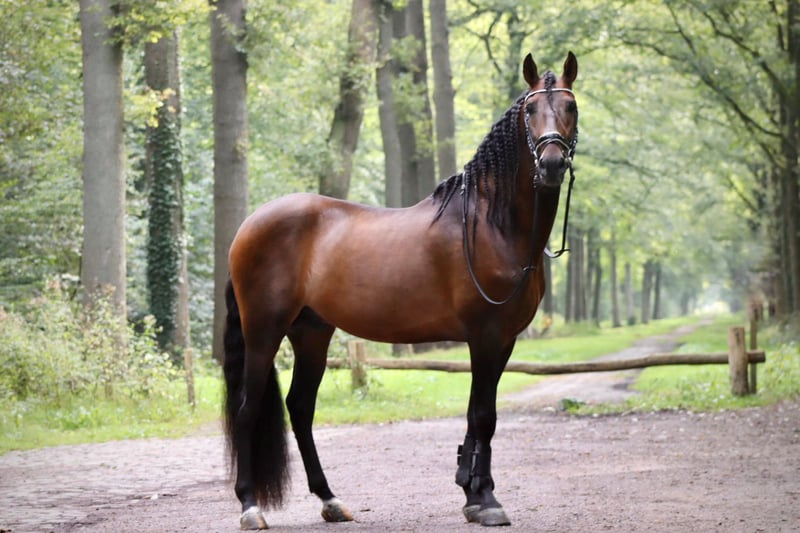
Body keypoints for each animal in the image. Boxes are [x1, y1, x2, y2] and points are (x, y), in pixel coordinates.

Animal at [223, 51, 579, 529]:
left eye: (570, 106)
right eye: (530, 109)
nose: (551, 164)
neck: (491, 225)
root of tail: (247, 226)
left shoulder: (502, 340)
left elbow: (480, 417)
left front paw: (472, 494)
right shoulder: (484, 336)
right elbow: (483, 416)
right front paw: (485, 500)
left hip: (311, 332)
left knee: (300, 408)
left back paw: (330, 500)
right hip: (264, 330)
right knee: (248, 409)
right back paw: (250, 506)